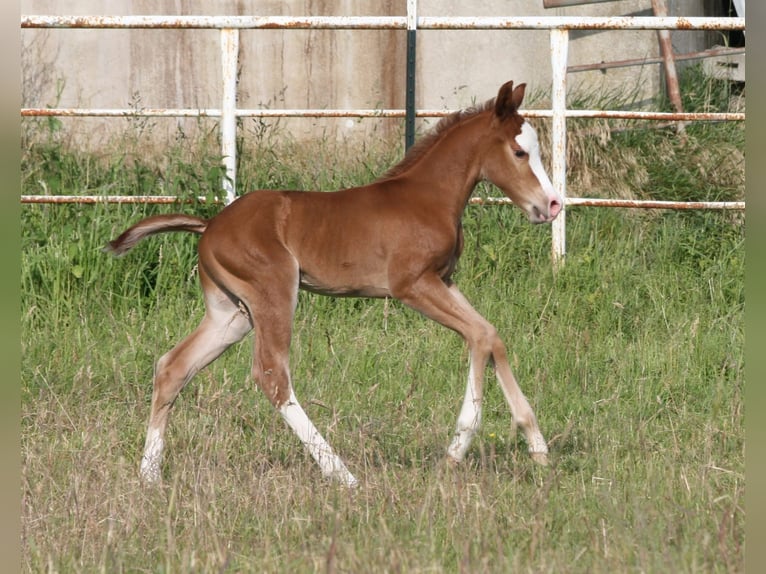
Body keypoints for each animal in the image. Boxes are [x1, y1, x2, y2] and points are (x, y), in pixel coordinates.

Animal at [106, 80, 562, 487]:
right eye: (519, 152)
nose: (553, 205)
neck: (428, 196)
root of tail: (211, 225)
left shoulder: (444, 281)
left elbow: (491, 334)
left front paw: (537, 447)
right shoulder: (412, 285)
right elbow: (479, 337)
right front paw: (456, 451)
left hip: (231, 314)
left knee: (173, 367)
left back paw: (149, 475)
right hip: (274, 294)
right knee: (272, 375)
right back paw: (343, 475)